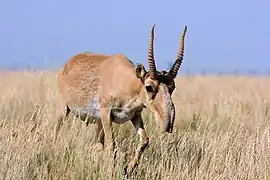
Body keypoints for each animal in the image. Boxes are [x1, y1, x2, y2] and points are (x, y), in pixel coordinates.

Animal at [53, 24, 188, 177]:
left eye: (172, 87)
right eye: (149, 87)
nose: (167, 124)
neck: (125, 81)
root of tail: (68, 64)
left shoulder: (135, 115)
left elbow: (144, 140)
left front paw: (128, 170)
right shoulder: (106, 115)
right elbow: (112, 146)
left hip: (98, 123)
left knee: (97, 145)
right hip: (65, 110)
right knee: (57, 130)